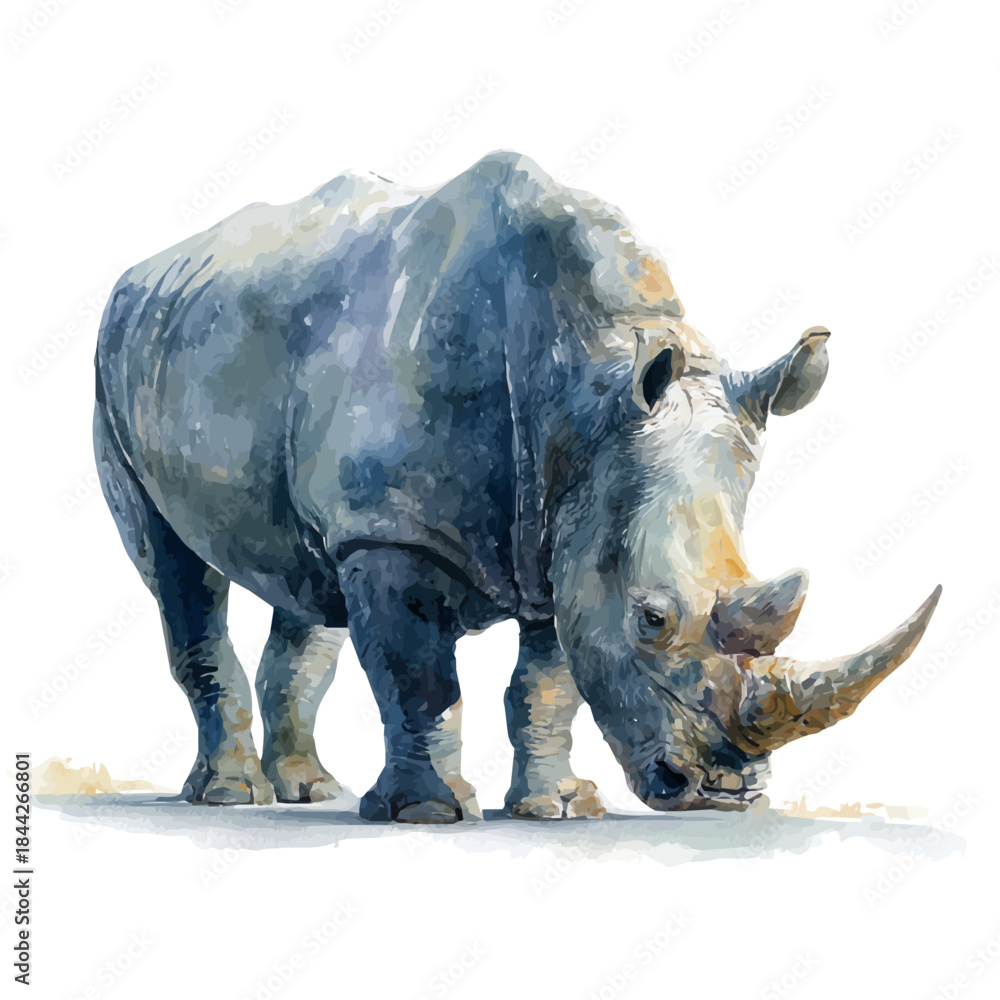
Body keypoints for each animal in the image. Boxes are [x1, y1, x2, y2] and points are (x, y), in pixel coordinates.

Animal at [94, 150, 939, 822]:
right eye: (653, 619)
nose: (725, 795)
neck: (586, 388)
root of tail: (141, 271)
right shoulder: (395, 530)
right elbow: (420, 678)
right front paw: (430, 814)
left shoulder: (569, 530)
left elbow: (546, 686)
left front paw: (558, 808)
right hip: (113, 369)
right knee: (177, 569)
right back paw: (229, 796)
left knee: (303, 580)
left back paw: (310, 791)